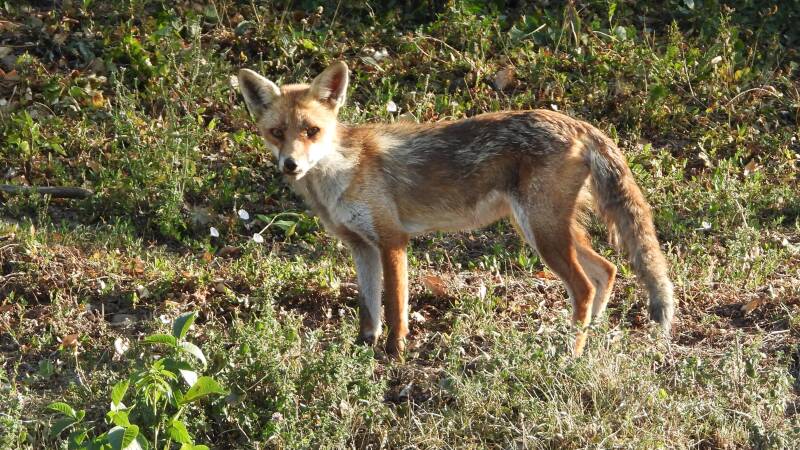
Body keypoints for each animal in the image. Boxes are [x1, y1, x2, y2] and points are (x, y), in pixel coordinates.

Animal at [237, 61, 675, 357]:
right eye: (277, 132)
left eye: (312, 131)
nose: (291, 165)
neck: (342, 171)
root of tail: (578, 123)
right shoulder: (361, 246)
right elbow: (368, 309)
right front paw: (362, 351)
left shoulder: (393, 240)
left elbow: (396, 308)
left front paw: (395, 355)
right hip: (540, 229)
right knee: (607, 270)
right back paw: (589, 340)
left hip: (543, 232)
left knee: (584, 285)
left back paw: (568, 352)